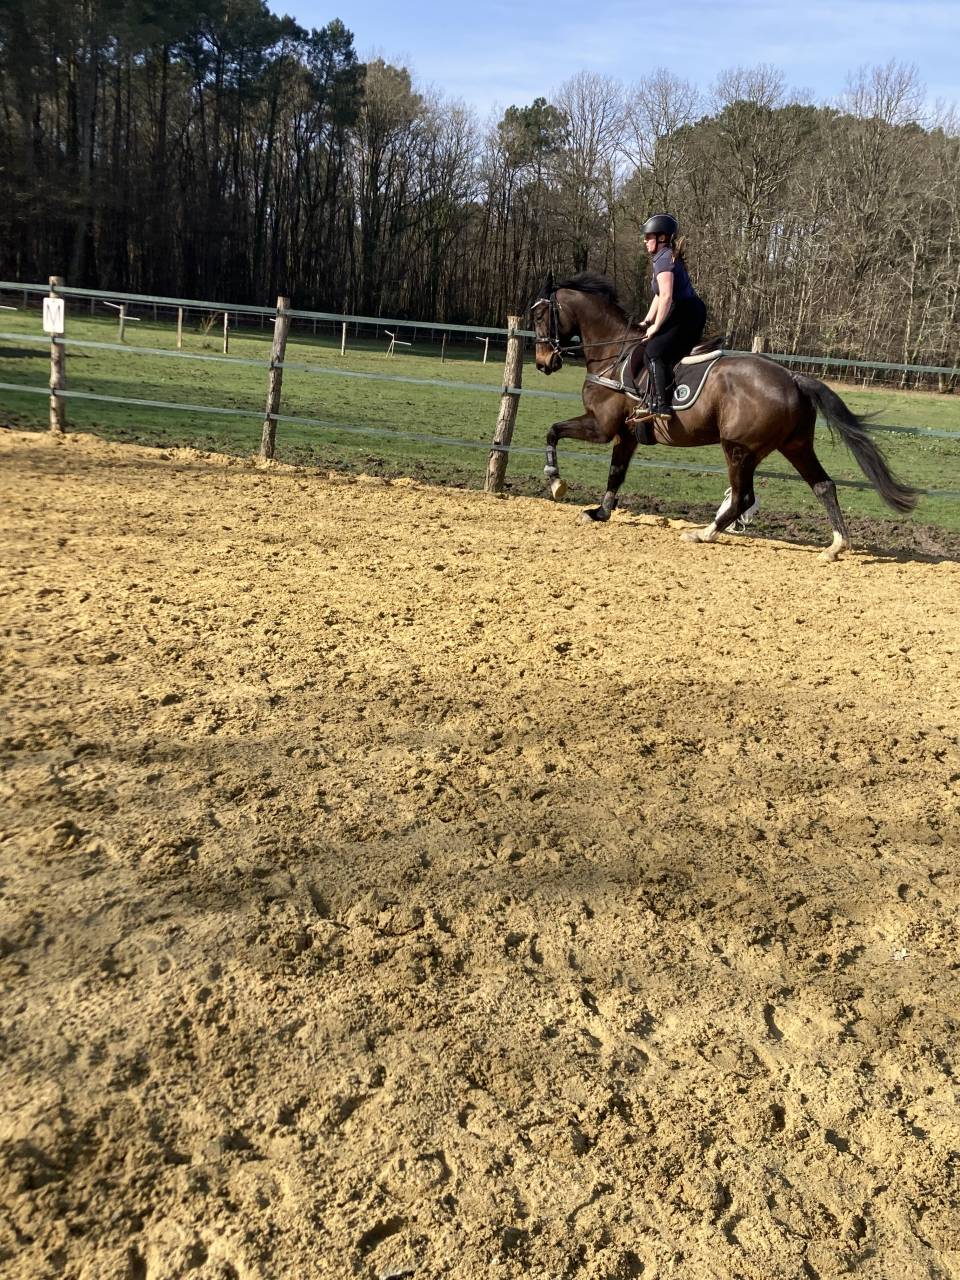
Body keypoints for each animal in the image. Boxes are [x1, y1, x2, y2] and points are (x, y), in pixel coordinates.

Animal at [530, 272, 919, 560]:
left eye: (538, 316)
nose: (543, 363)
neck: (613, 353)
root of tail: (792, 378)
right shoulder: (625, 435)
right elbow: (616, 472)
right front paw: (601, 511)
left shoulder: (601, 426)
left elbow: (552, 431)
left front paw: (555, 481)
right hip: (794, 446)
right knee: (822, 485)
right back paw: (836, 546)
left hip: (738, 449)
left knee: (742, 497)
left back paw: (704, 533)